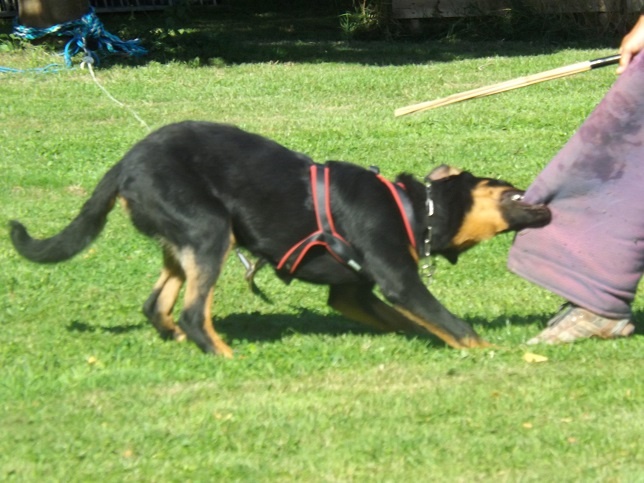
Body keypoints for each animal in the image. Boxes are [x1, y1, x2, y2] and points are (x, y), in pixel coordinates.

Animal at [10, 122, 552, 356]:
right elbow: (452, 321)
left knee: (158, 304)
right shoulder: (398, 280)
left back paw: (180, 341)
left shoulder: (351, 294)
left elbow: (411, 320)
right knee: (192, 311)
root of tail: (126, 163)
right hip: (210, 231)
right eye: (502, 184)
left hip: (182, 240)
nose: (542, 193)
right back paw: (223, 355)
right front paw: (494, 351)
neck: (416, 209)